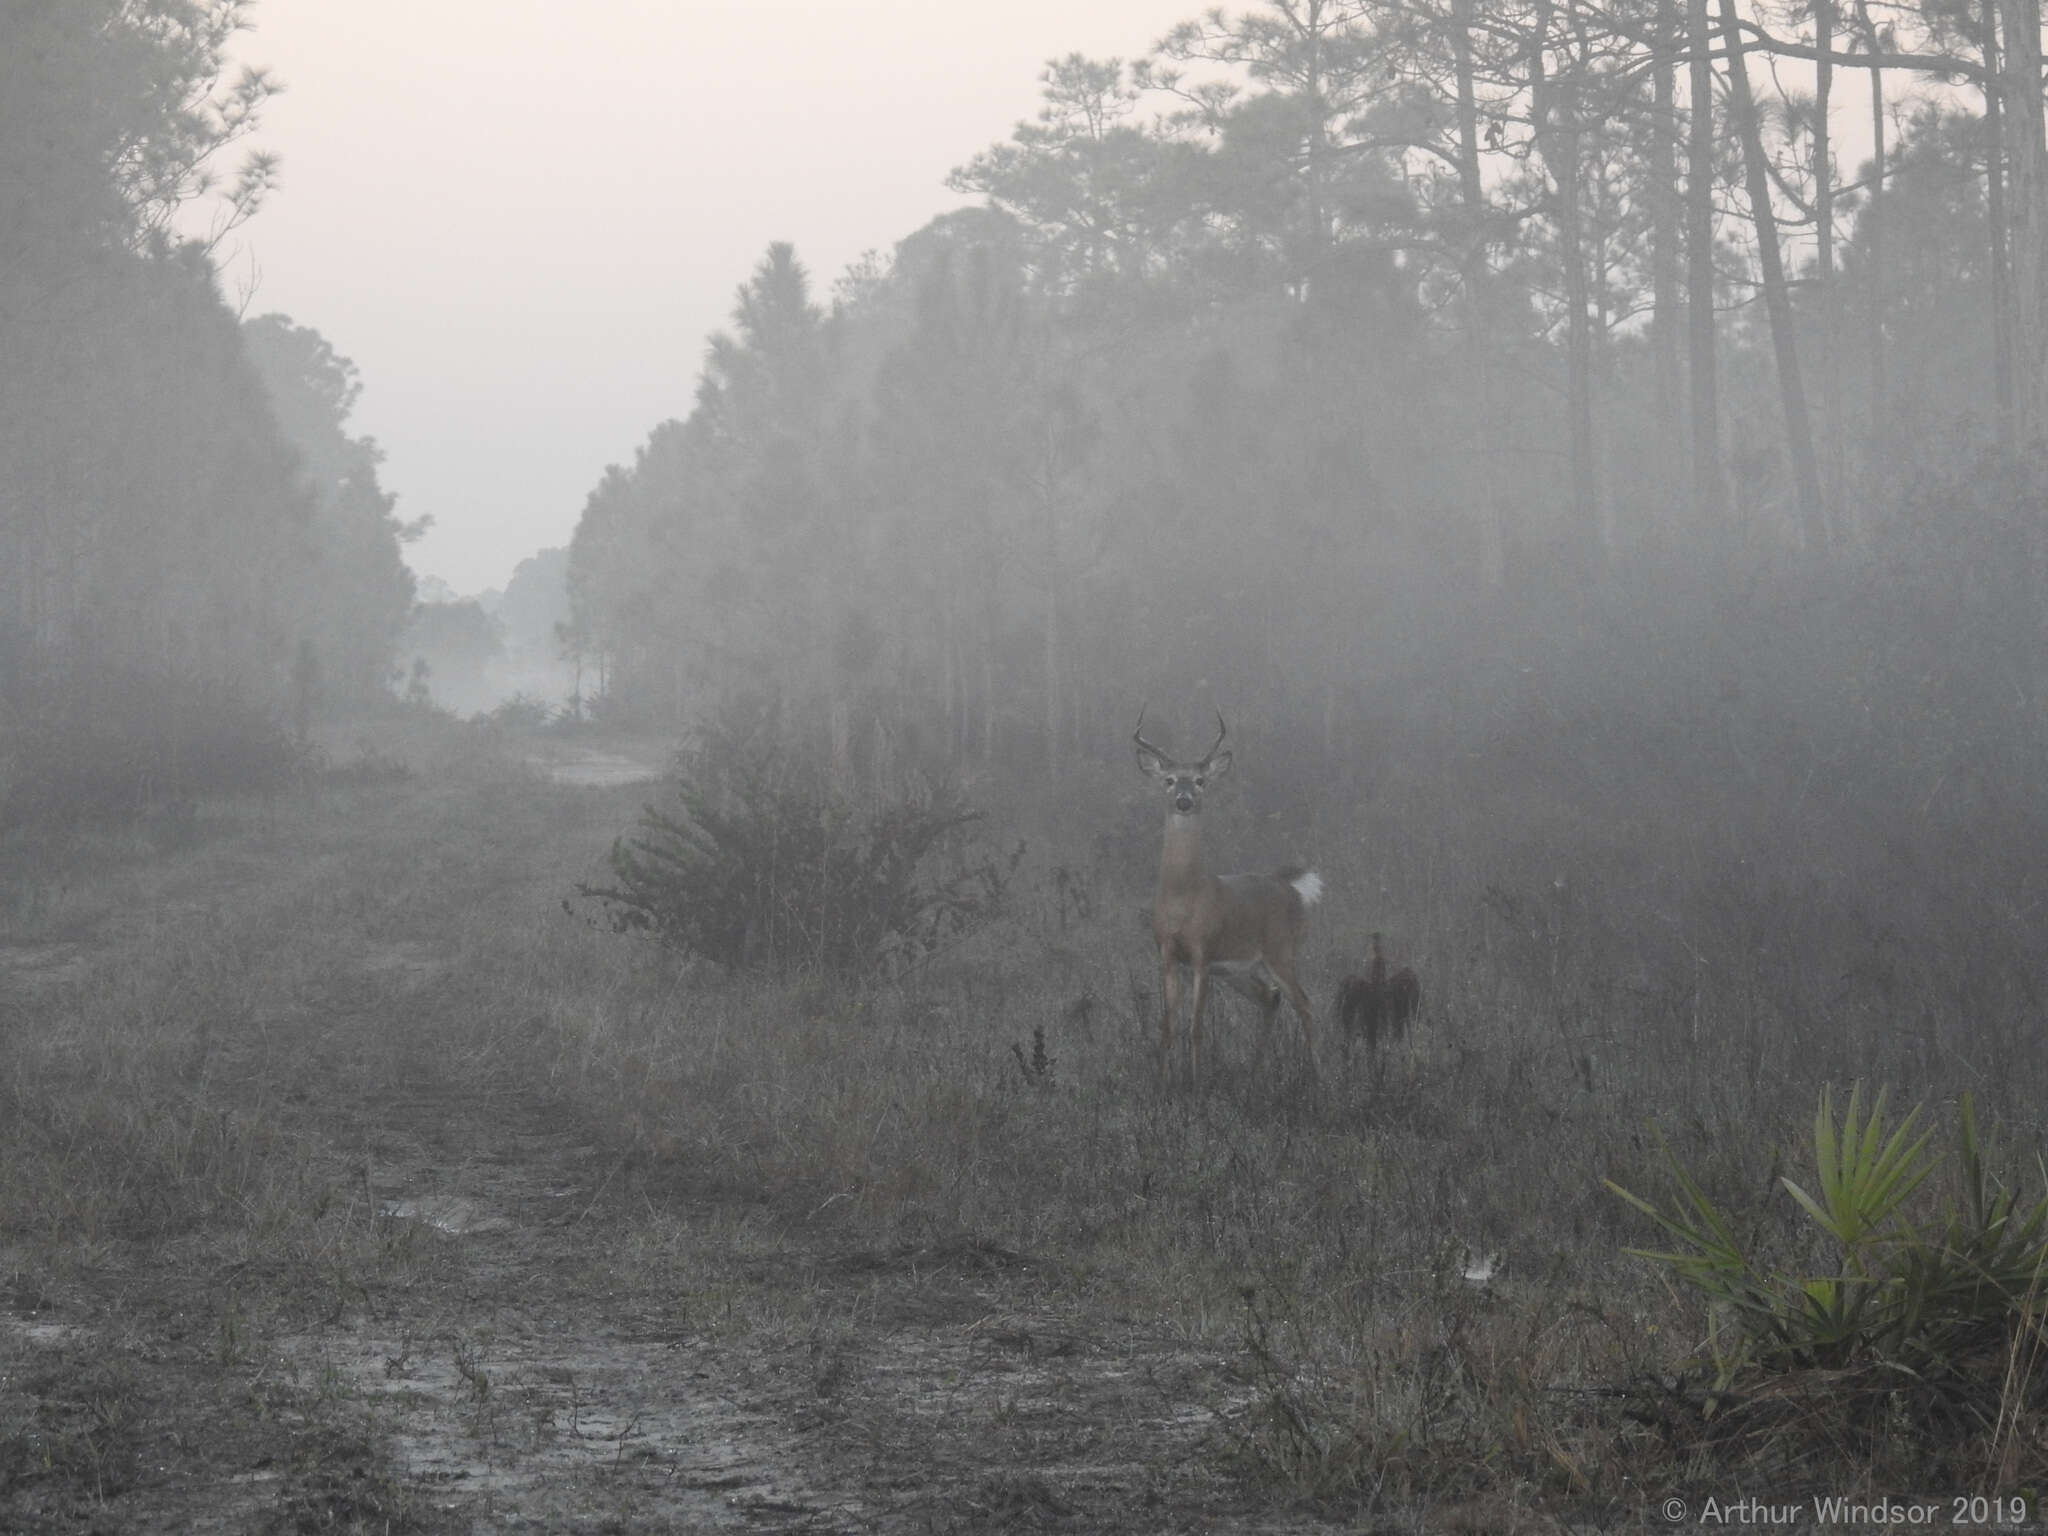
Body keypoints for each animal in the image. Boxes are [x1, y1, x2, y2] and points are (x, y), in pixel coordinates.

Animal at [1130, 712, 1318, 1081]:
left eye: (1200, 780)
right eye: (1169, 780)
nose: (1184, 800)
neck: (1184, 898)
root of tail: (1292, 889)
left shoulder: (1203, 954)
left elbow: (1196, 1027)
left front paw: (1196, 1082)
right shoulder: (1168, 954)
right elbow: (1167, 1026)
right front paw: (1163, 1082)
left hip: (1281, 951)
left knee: (1305, 1004)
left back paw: (1319, 1075)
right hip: (1239, 969)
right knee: (1270, 997)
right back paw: (1255, 1072)